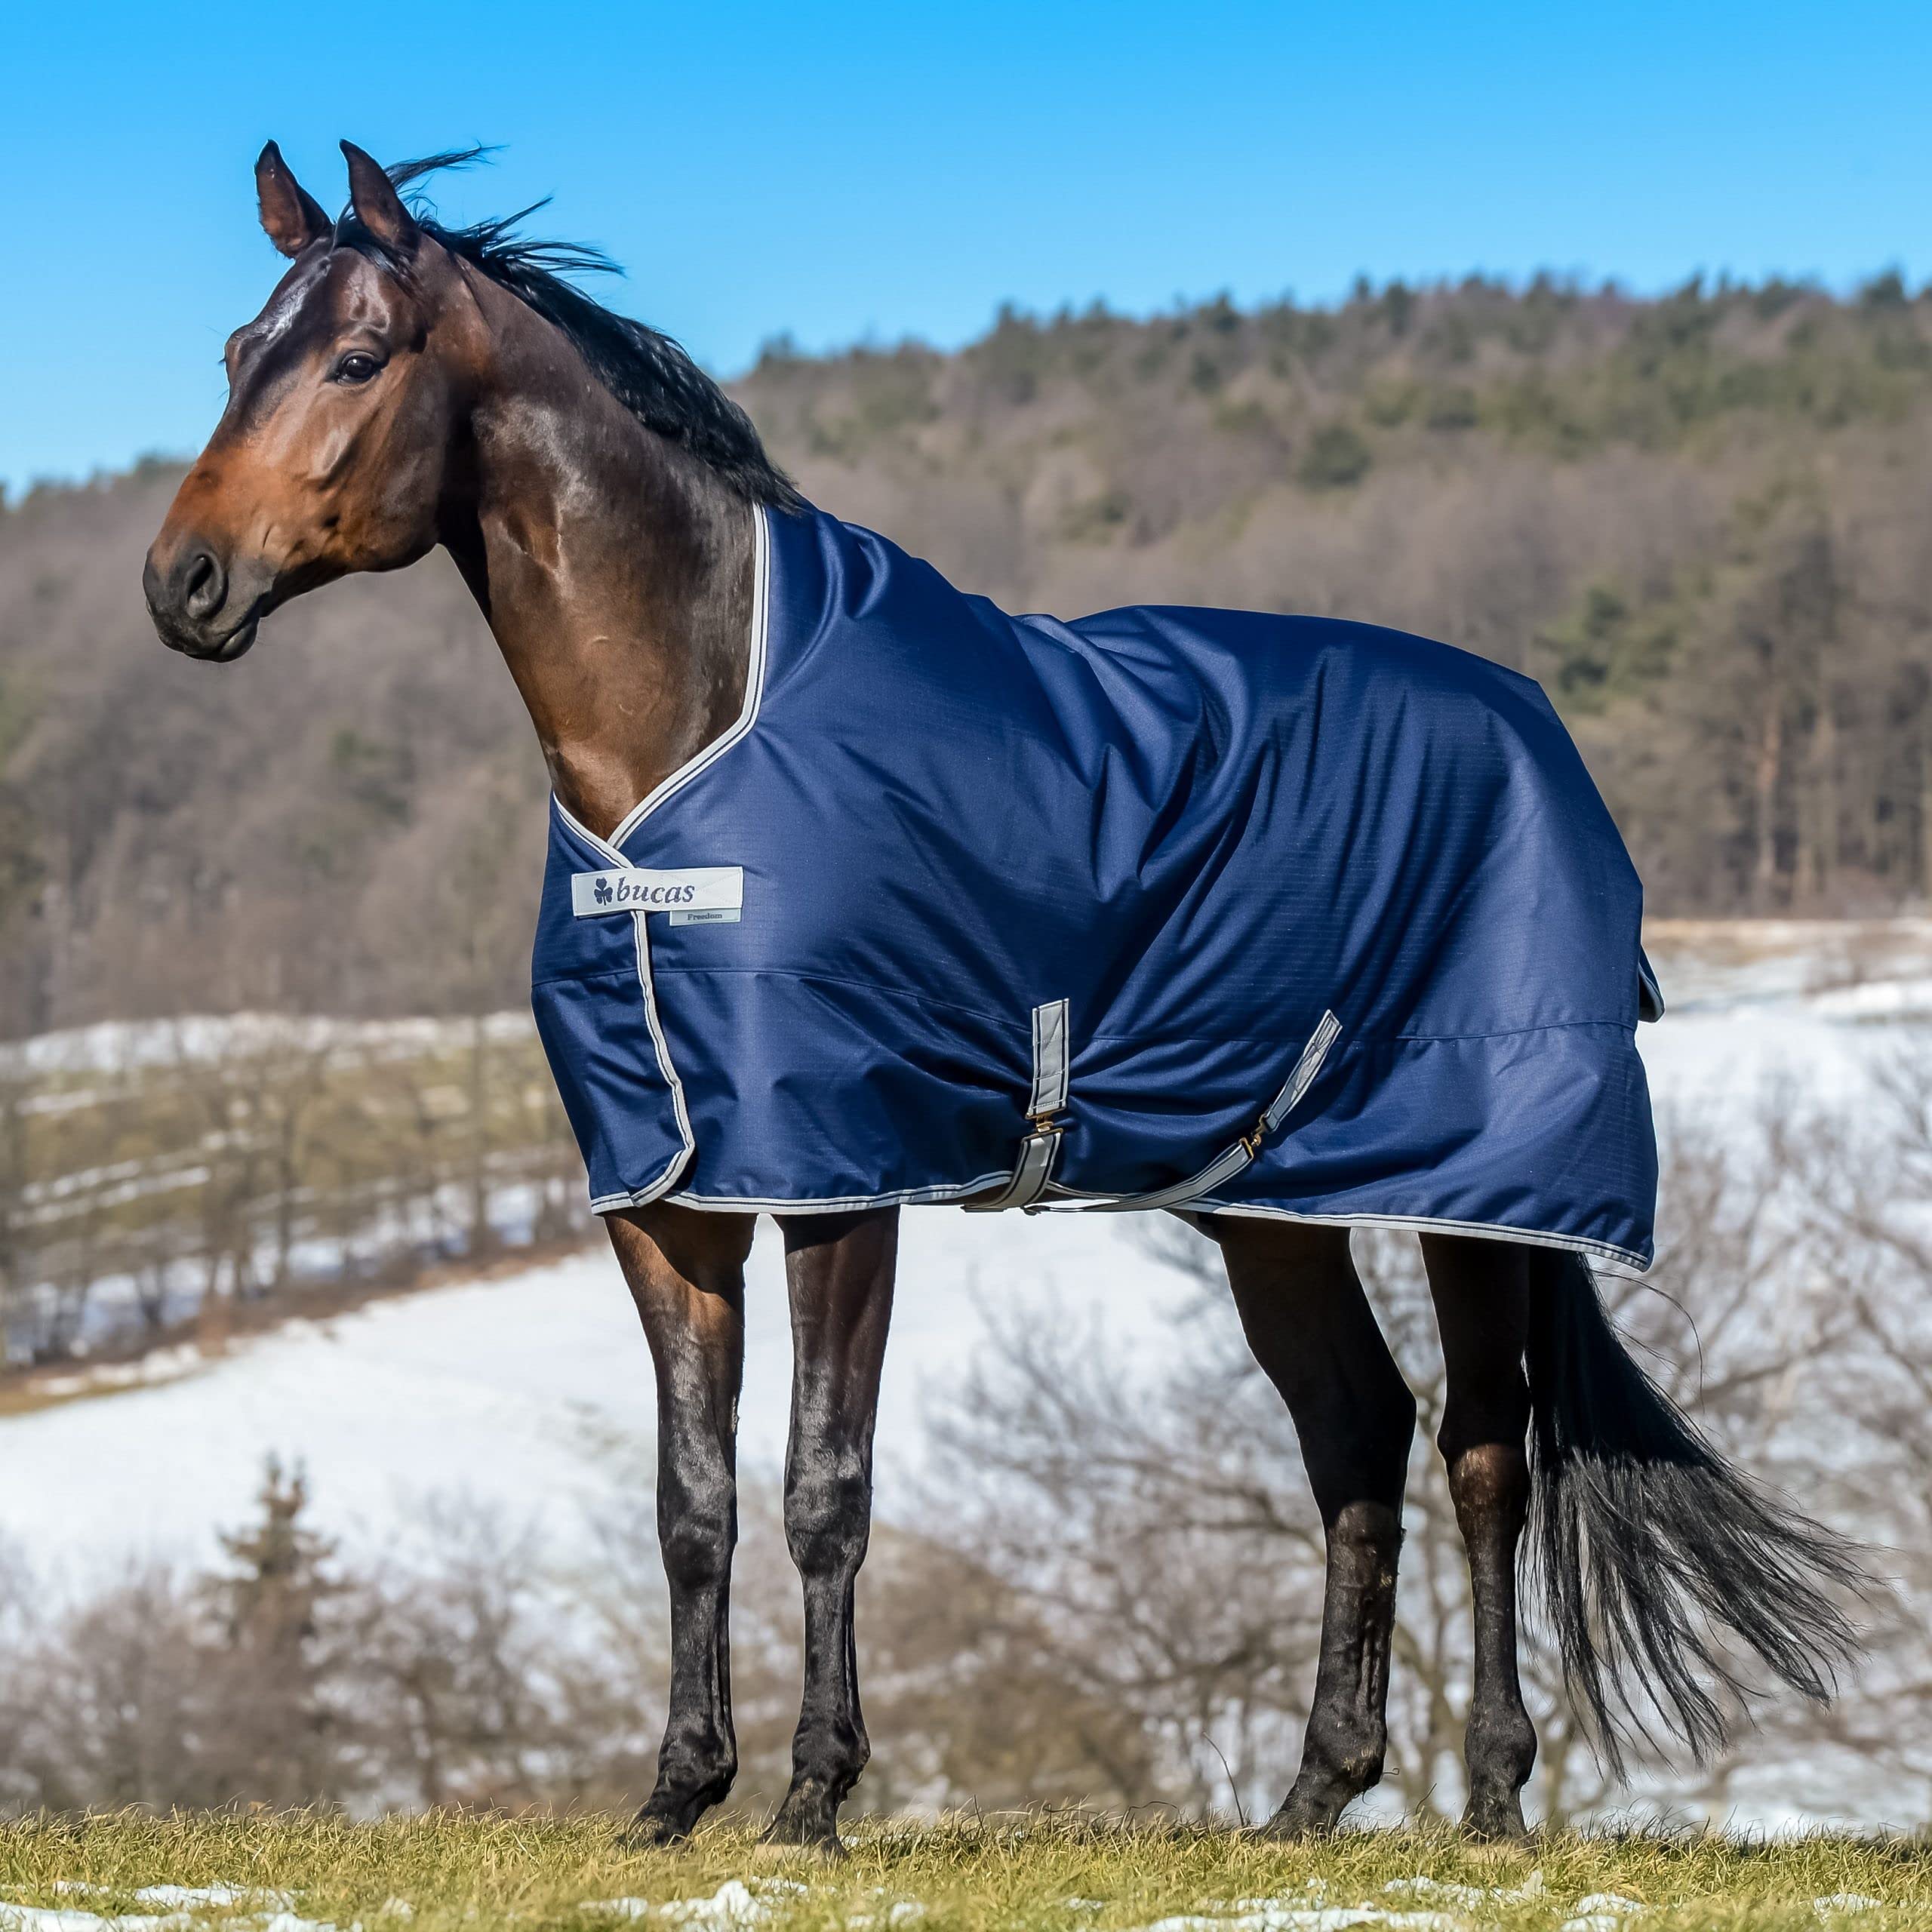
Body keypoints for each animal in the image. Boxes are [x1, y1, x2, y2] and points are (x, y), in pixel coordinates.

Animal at [143, 142, 1859, 1852]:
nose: (182, 582)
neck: (695, 745)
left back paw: (1492, 1797)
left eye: (357, 359)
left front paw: (812, 1796)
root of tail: (1534, 729)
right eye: (234, 354)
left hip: (1479, 1193)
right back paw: (1313, 1794)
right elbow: (689, 1499)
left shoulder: (841, 1181)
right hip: (1270, 1205)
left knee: (1484, 1451)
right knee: (1355, 1437)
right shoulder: (666, 1198)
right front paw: (674, 1796)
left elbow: (822, 1487)